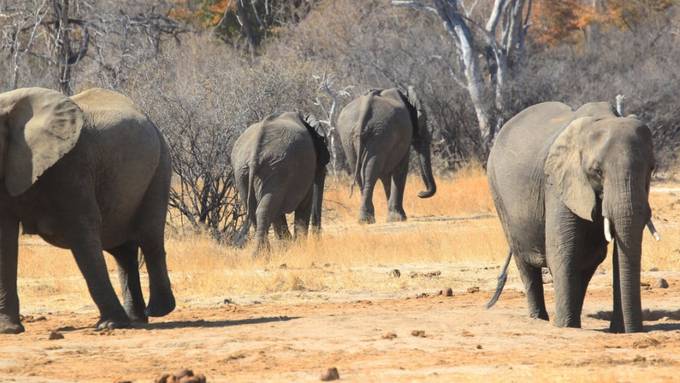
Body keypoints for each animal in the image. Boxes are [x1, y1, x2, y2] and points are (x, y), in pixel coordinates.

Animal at [0, 87, 178, 332]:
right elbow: (4, 241)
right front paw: (8, 329)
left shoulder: (72, 164)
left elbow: (82, 230)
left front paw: (111, 325)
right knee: (122, 250)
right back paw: (136, 319)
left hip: (160, 165)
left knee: (149, 238)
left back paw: (158, 311)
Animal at [232, 112, 330, 255]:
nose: (318, 243)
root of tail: (255, 151)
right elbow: (305, 203)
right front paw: (297, 247)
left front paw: (288, 246)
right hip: (276, 168)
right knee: (265, 209)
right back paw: (262, 254)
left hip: (245, 171)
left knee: (256, 209)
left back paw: (262, 254)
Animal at [338, 86, 438, 225]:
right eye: (423, 121)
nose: (420, 193)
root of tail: (365, 108)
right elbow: (400, 169)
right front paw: (398, 218)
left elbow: (386, 175)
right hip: (380, 134)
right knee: (370, 173)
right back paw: (367, 219)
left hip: (349, 136)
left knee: (358, 173)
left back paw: (365, 219)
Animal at [488, 101, 660, 332]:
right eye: (597, 171)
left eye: (651, 168)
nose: (635, 330)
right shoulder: (558, 182)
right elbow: (562, 250)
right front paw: (564, 327)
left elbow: (611, 253)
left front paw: (618, 331)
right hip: (498, 192)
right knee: (524, 260)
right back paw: (540, 319)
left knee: (588, 259)